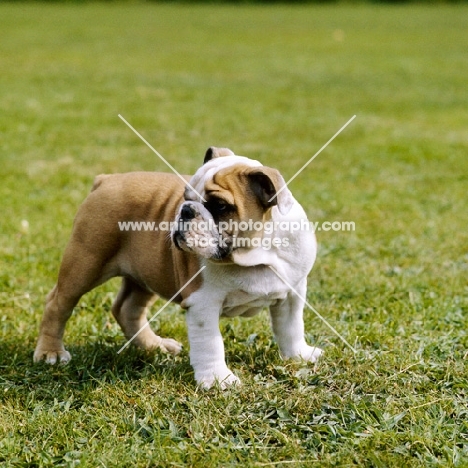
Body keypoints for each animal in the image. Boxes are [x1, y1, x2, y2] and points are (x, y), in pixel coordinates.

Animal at [34, 146, 322, 388]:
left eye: (220, 206)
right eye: (185, 197)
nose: (185, 210)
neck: (258, 254)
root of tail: (106, 180)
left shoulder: (292, 294)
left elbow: (291, 328)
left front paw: (299, 355)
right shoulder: (203, 303)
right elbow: (210, 343)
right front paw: (217, 379)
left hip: (146, 273)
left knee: (128, 308)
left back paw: (154, 346)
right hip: (85, 262)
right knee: (57, 304)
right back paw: (51, 353)